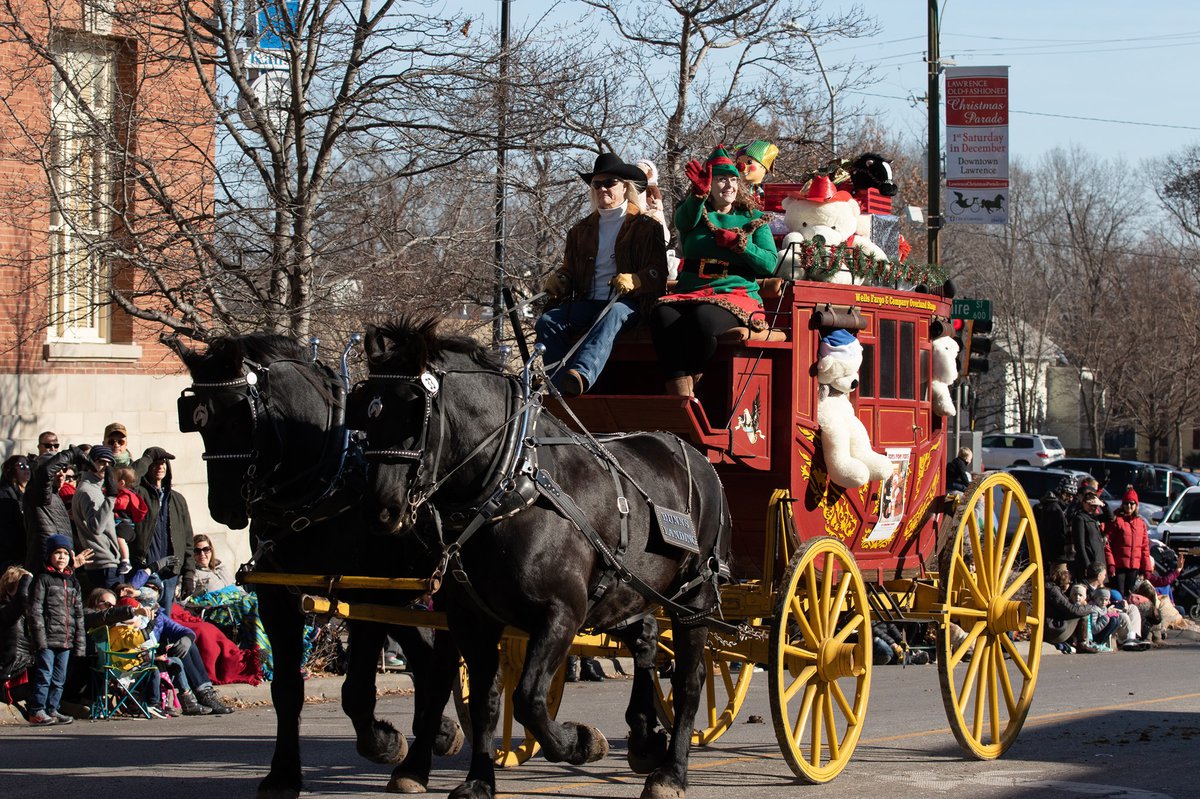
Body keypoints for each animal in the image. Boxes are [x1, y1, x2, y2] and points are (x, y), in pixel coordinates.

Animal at [169, 333, 463, 791]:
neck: (325, 485)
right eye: (195, 420)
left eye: (238, 417)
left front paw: (382, 742)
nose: (223, 507)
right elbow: (287, 690)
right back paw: (440, 735)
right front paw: (283, 772)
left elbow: (356, 690)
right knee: (430, 657)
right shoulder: (278, 597)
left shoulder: (363, 597)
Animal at [355, 316, 729, 796]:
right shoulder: (472, 619)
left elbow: (529, 698)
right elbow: (486, 700)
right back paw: (646, 737)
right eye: (366, 409)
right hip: (629, 592)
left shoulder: (561, 612)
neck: (508, 485)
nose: (380, 508)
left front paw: (580, 742)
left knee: (689, 680)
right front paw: (479, 780)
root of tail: (697, 458)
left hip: (693, 597)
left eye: (414, 408)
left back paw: (672, 771)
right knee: (646, 640)